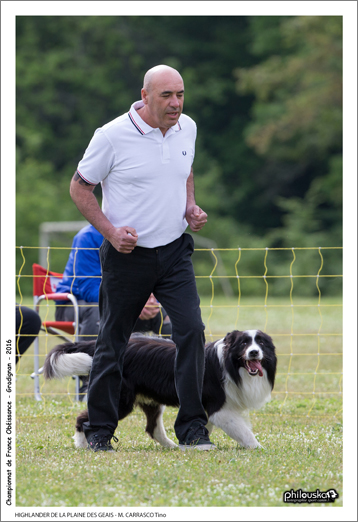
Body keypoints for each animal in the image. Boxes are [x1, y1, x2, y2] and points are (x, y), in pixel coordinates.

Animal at [42, 330, 276, 446]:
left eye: (261, 344)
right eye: (244, 343)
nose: (254, 353)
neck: (231, 365)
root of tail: (96, 347)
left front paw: (195, 441)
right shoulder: (220, 408)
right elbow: (245, 432)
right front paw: (258, 448)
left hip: (149, 399)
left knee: (152, 428)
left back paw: (172, 447)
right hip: (121, 400)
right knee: (84, 417)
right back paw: (84, 444)